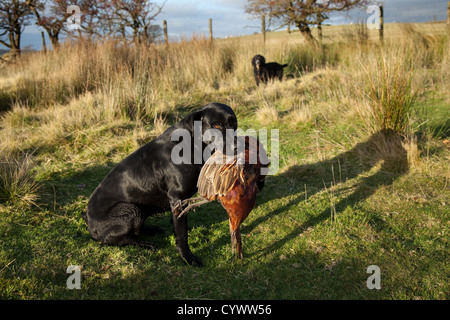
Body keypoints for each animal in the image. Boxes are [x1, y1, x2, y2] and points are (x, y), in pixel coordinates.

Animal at [84, 102, 239, 264]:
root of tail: (88, 221)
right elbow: (181, 234)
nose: (237, 147)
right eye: (216, 125)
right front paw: (187, 257)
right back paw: (145, 244)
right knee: (118, 239)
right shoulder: (178, 197)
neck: (193, 144)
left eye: (233, 123)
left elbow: (178, 223)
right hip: (131, 209)